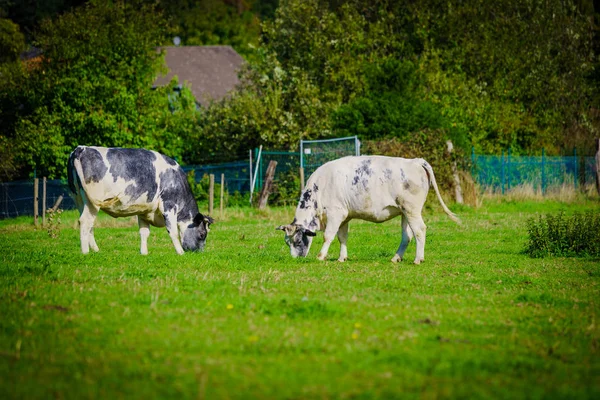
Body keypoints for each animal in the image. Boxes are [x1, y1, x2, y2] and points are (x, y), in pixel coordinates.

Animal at [67, 145, 213, 255]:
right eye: (202, 234)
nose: (199, 252)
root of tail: (81, 149)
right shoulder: (169, 206)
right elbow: (173, 231)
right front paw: (180, 253)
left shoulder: (144, 210)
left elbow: (144, 233)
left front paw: (144, 253)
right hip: (92, 201)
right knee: (85, 222)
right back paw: (85, 252)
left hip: (79, 199)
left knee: (89, 224)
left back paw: (96, 250)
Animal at [276, 155, 460, 262]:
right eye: (287, 242)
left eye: (298, 241)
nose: (296, 258)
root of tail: (415, 160)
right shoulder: (345, 217)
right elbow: (342, 237)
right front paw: (342, 258)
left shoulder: (336, 213)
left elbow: (328, 236)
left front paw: (321, 256)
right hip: (405, 212)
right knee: (407, 235)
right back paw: (396, 258)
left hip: (412, 210)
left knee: (420, 230)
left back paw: (418, 259)